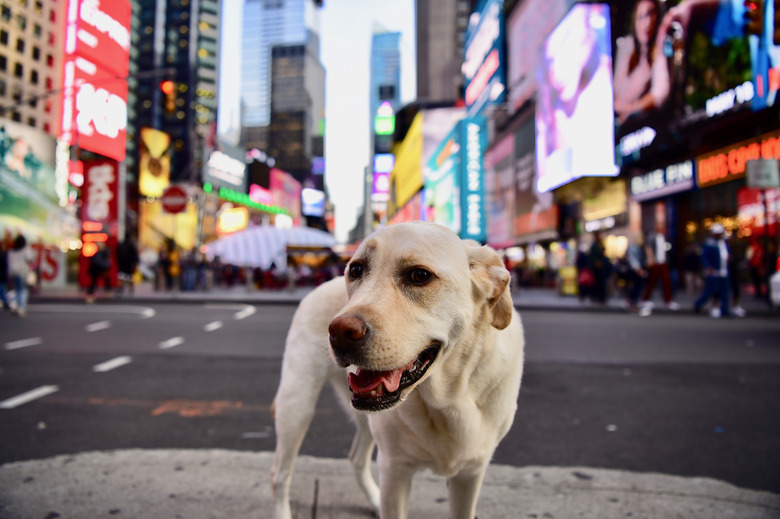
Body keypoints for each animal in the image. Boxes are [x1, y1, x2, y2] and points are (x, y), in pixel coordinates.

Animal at [272, 222, 528, 519]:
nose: (339, 332)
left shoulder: (470, 474)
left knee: (356, 459)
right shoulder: (395, 469)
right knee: (280, 475)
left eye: (420, 275)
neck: (449, 401)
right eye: (356, 269)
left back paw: (374, 500)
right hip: (296, 406)